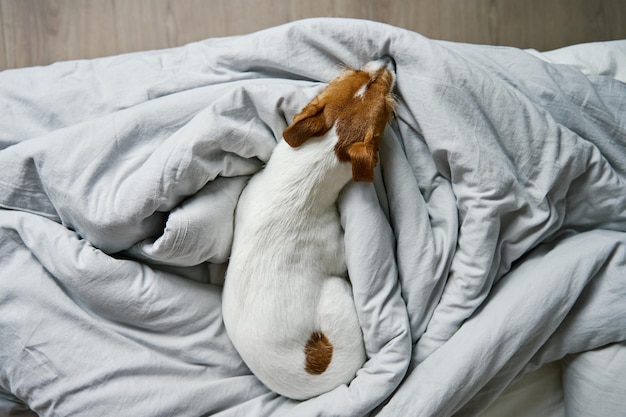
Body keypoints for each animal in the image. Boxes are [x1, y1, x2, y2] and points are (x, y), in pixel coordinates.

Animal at [222, 58, 392, 400]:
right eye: (390, 110)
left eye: (353, 73)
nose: (385, 61)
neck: (303, 181)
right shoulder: (336, 254)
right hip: (337, 294)